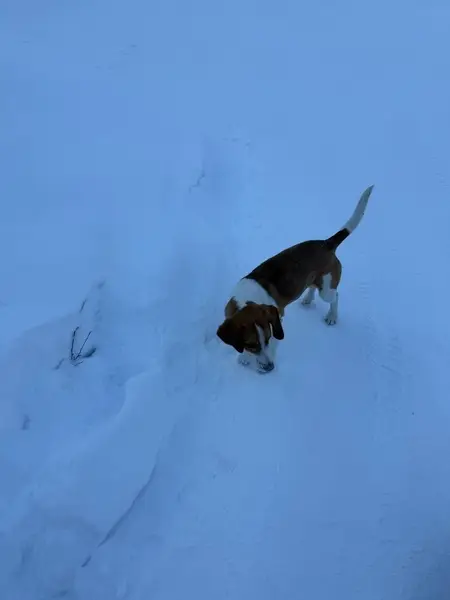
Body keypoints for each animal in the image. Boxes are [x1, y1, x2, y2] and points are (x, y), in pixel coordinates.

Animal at [216, 185, 374, 373]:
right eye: (251, 345)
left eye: (268, 339)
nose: (269, 368)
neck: (246, 299)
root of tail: (326, 243)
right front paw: (244, 357)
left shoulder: (277, 319)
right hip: (314, 279)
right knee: (312, 285)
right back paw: (307, 299)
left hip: (327, 290)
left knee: (335, 296)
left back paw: (332, 316)